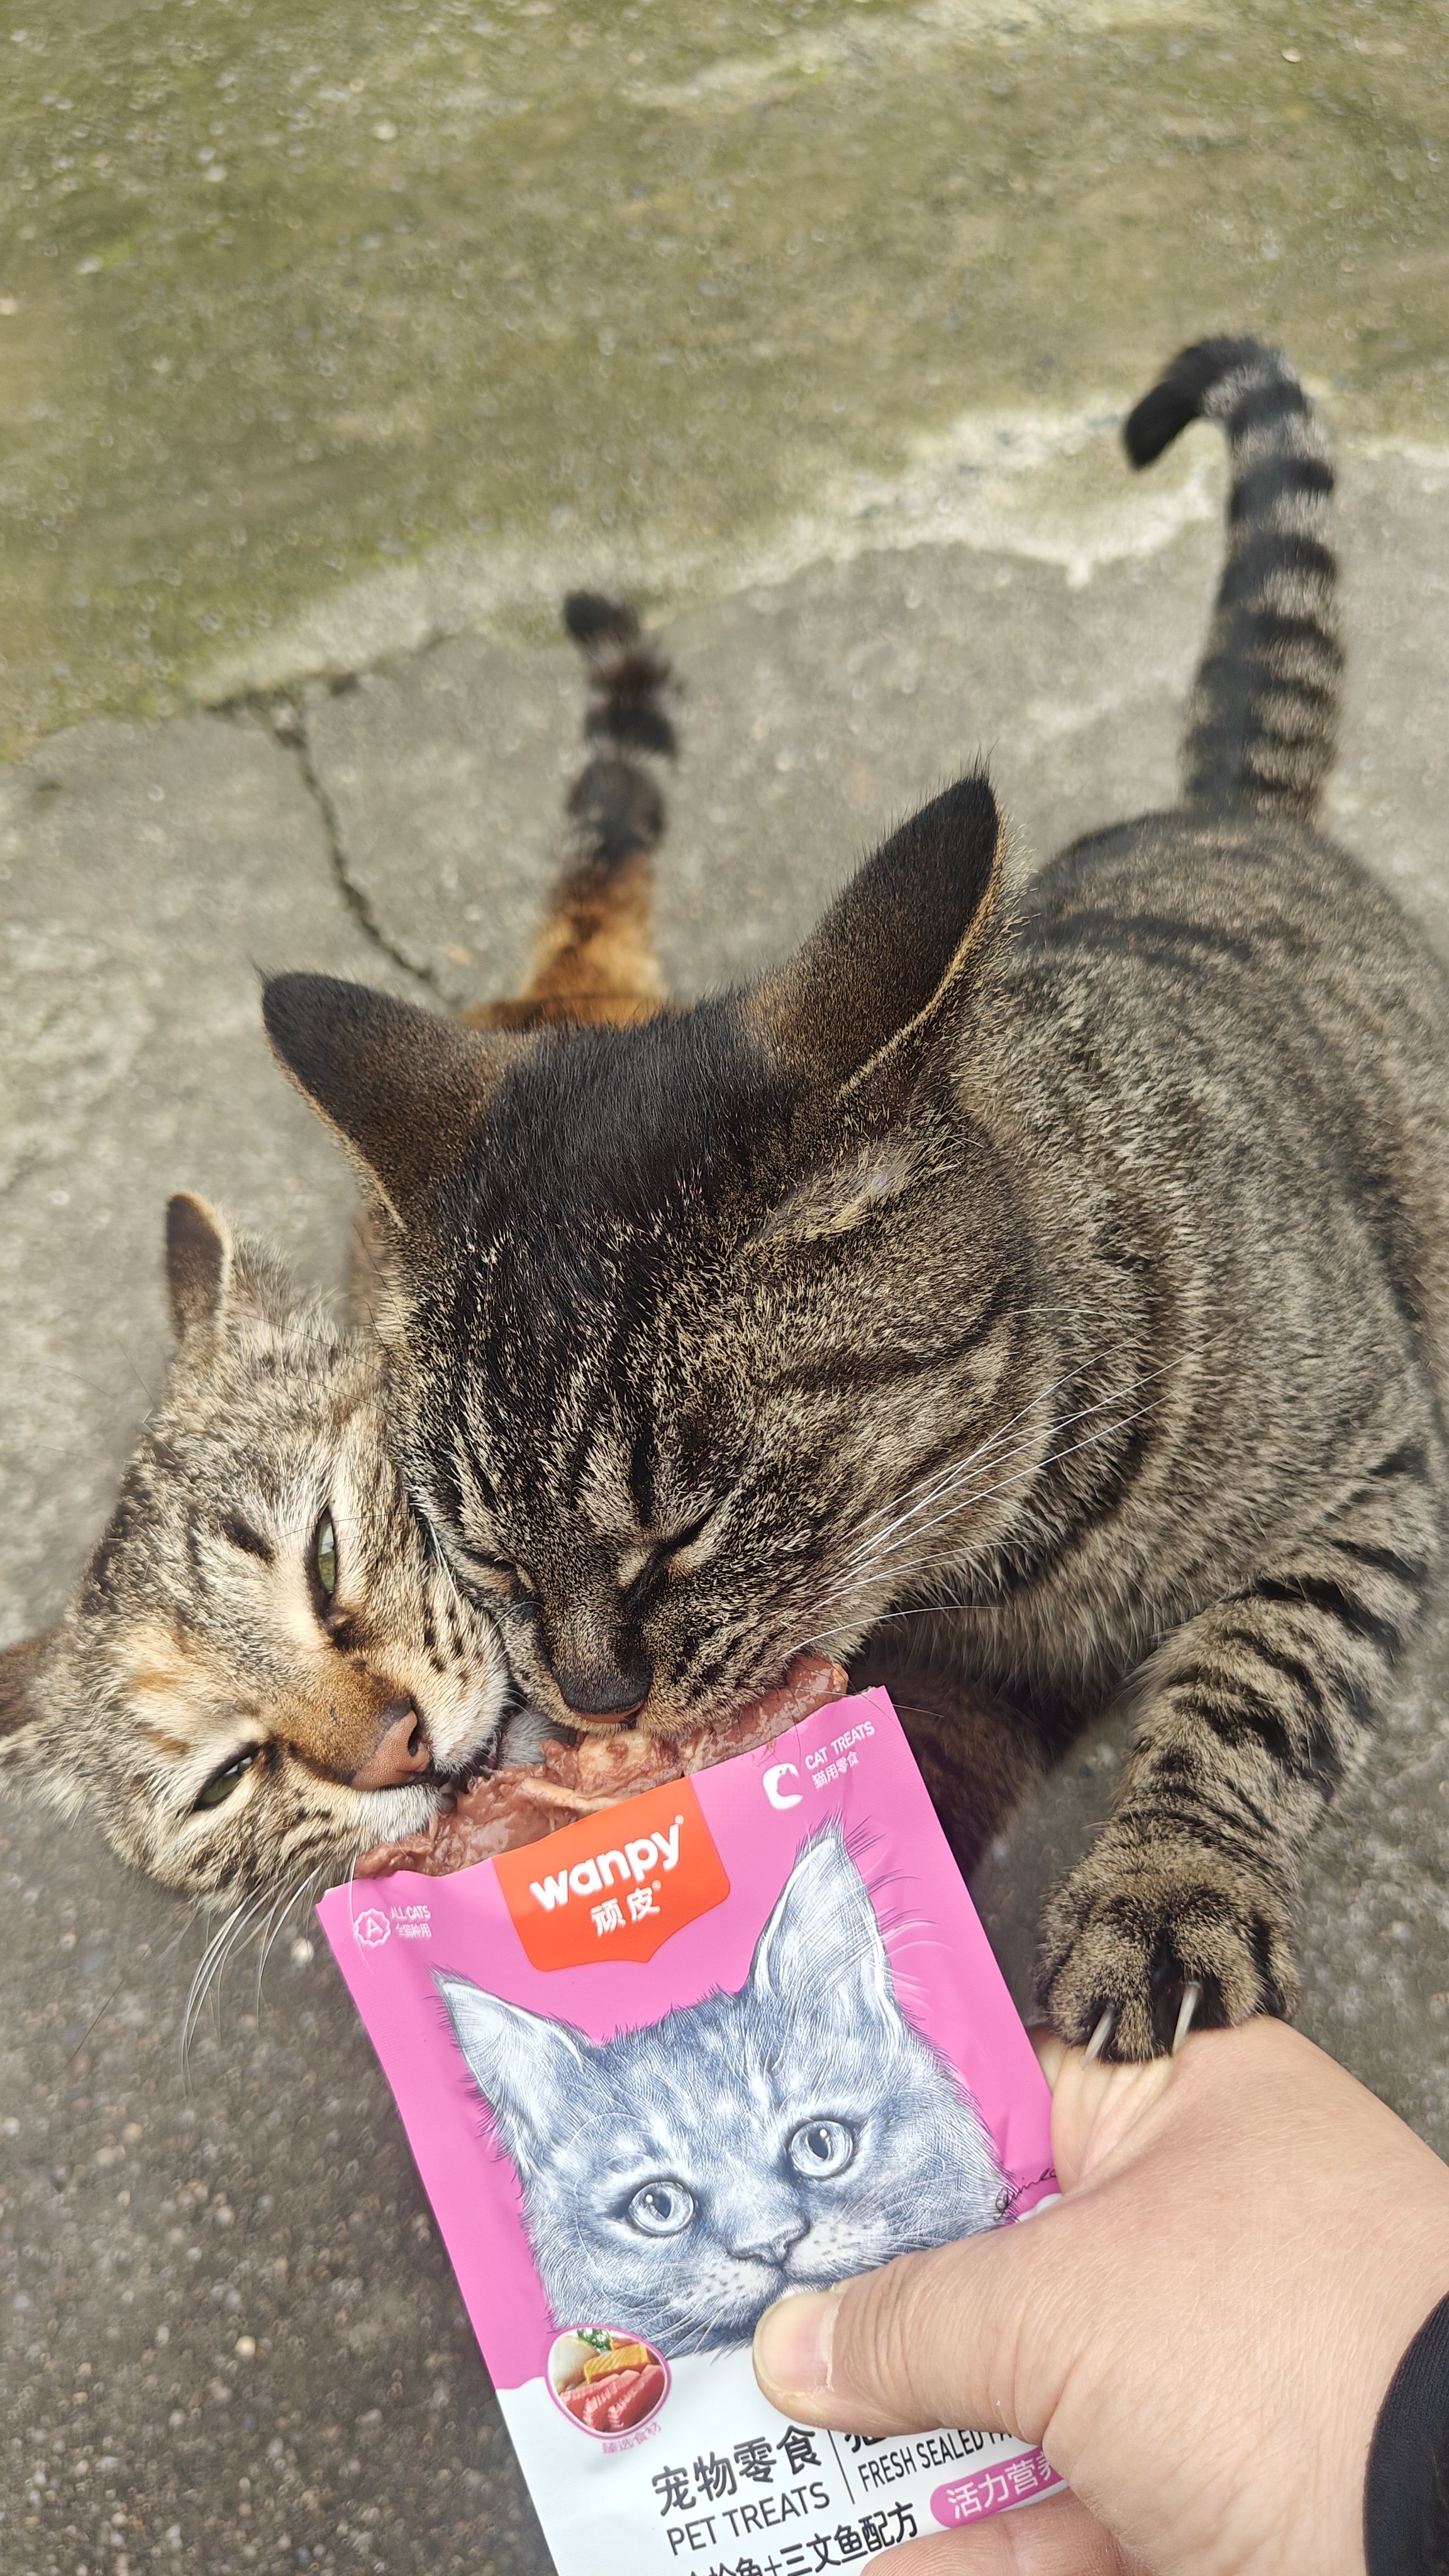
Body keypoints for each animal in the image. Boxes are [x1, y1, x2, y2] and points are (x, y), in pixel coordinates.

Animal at [262, 339, 1449, 2061]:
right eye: (485, 1561)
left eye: (682, 1533)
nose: (595, 1704)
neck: (1011, 1565)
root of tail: (1237, 810)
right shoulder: (946, 1678)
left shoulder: (1369, 1468)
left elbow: (1264, 1675)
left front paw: (1166, 1887)